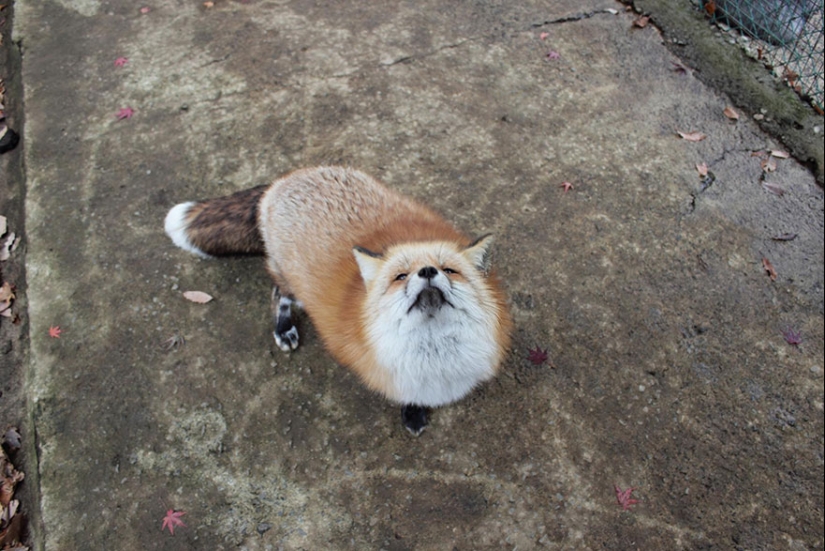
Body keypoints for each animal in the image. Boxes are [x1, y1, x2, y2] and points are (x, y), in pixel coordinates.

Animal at [164, 166, 512, 434]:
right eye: (400, 276)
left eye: (450, 270)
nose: (427, 271)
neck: (436, 359)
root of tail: (284, 180)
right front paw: (412, 412)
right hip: (291, 284)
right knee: (277, 294)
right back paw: (284, 329)